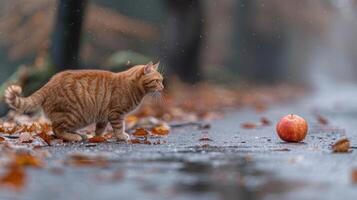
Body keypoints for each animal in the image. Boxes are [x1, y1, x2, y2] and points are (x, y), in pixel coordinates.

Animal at [3, 61, 163, 141]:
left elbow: (100, 129)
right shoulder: (116, 113)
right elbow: (119, 127)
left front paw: (98, 138)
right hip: (75, 114)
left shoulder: (104, 116)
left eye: (162, 80)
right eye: (157, 81)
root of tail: (50, 83)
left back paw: (82, 135)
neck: (133, 86)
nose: (162, 87)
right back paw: (74, 137)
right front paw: (121, 136)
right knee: (57, 129)